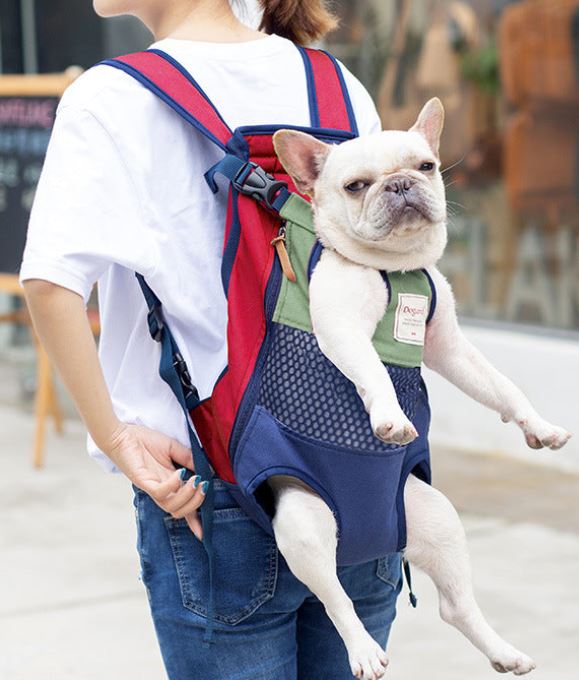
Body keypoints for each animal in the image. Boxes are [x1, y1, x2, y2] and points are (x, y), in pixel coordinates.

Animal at [266, 97, 572, 680]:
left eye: (426, 166)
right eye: (356, 186)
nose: (401, 184)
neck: (395, 268)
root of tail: (365, 541)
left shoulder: (449, 347)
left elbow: (501, 385)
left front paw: (538, 426)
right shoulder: (342, 329)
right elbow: (373, 371)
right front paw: (390, 418)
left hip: (434, 514)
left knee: (454, 607)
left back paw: (502, 651)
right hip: (303, 524)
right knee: (336, 599)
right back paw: (363, 650)